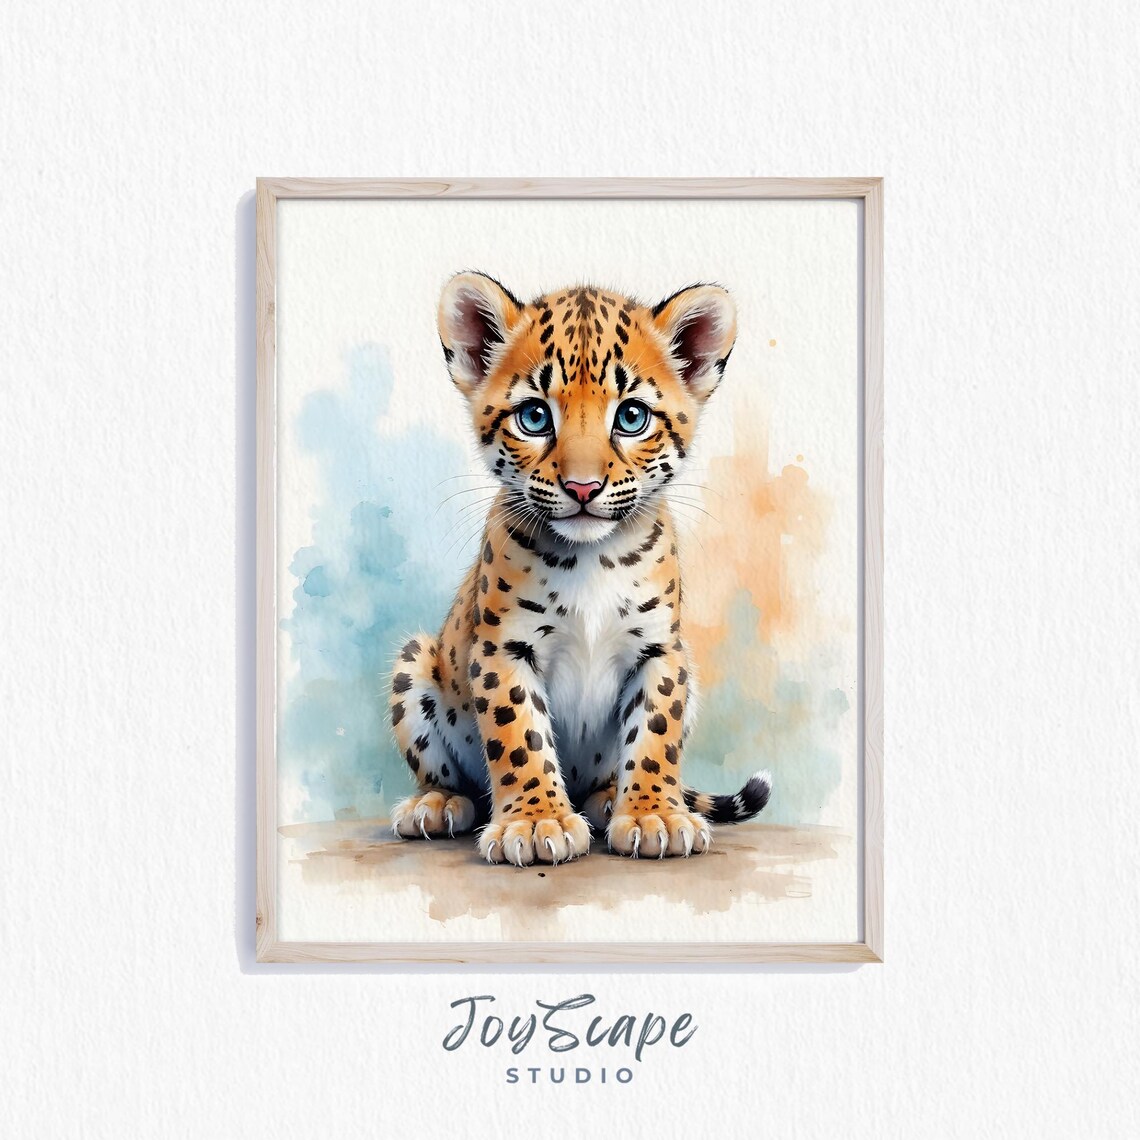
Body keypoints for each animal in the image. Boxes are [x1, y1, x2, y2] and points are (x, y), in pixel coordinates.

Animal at [387, 272, 771, 866]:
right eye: (535, 416)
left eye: (632, 417)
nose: (583, 488)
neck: (592, 558)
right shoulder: (503, 648)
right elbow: (519, 736)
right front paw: (535, 823)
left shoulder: (661, 650)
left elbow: (655, 733)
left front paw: (655, 814)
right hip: (414, 661)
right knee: (454, 779)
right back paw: (438, 805)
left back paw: (608, 800)